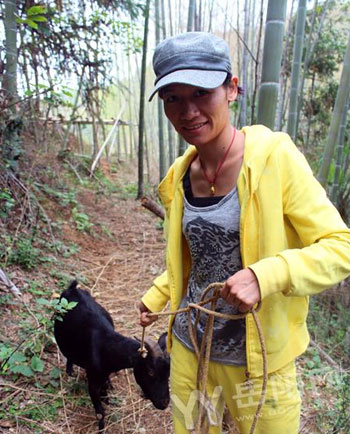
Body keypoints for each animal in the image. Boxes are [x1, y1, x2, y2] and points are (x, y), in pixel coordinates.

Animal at [54, 282, 170, 430]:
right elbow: (100, 413)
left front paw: (107, 397)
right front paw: (101, 428)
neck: (106, 346)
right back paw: (70, 371)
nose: (164, 403)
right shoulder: (92, 382)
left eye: (168, 374)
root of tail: (72, 289)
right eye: (150, 372)